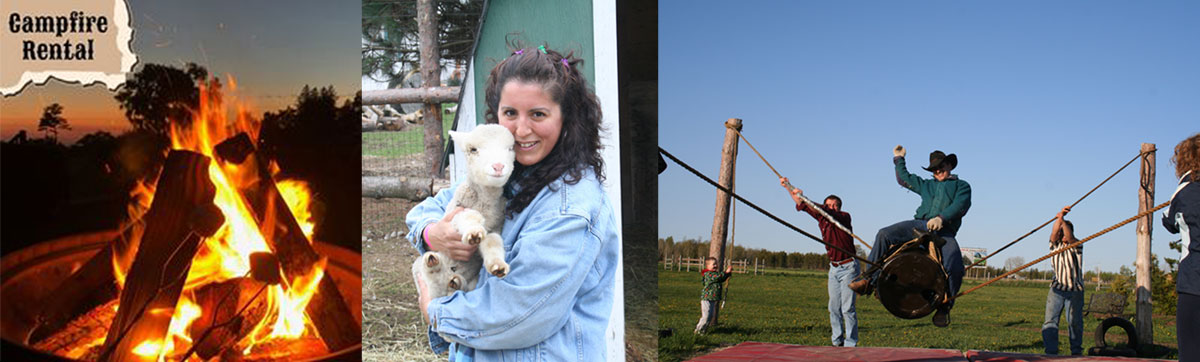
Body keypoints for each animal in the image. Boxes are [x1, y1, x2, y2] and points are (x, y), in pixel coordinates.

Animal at [415, 124, 513, 299]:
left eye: (510, 148)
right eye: (473, 149)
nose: (498, 166)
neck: (485, 202)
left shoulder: (496, 227)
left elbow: (493, 241)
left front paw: (498, 266)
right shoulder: (456, 211)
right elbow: (468, 216)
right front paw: (473, 232)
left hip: (470, 283)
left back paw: (455, 282)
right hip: (418, 269)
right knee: (431, 284)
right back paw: (432, 263)